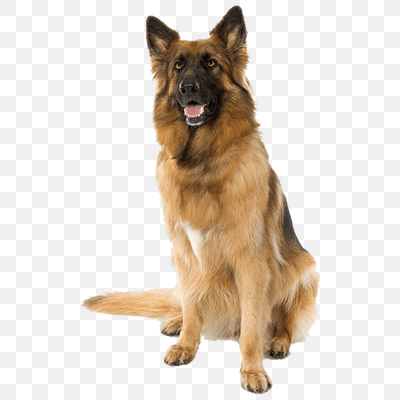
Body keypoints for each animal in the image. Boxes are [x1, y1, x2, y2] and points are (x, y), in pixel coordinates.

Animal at [83, 6, 319, 394]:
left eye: (211, 64)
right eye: (178, 66)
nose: (187, 88)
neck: (203, 162)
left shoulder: (251, 260)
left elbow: (252, 324)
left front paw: (252, 369)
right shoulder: (184, 252)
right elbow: (194, 306)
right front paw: (186, 343)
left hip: (306, 271)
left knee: (283, 321)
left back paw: (277, 341)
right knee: (187, 302)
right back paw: (176, 320)